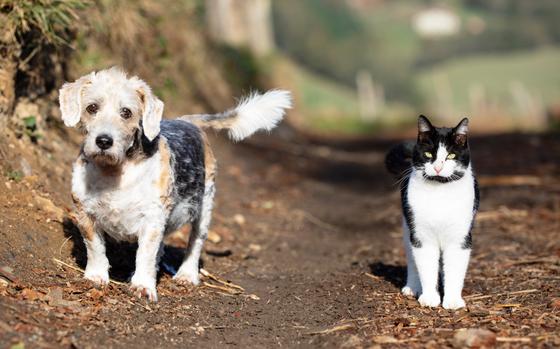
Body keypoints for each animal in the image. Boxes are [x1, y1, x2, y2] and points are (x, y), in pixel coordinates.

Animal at [58, 67, 290, 300]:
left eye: (126, 112)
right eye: (92, 107)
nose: (104, 141)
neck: (114, 171)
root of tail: (186, 120)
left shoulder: (152, 218)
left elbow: (146, 254)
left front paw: (143, 285)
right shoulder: (85, 213)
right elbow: (95, 248)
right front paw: (96, 276)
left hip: (204, 209)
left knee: (194, 244)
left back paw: (186, 274)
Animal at [384, 115, 482, 308]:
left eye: (451, 155)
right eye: (429, 154)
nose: (438, 168)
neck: (439, 191)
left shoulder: (460, 238)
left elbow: (454, 270)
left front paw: (452, 301)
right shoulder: (421, 236)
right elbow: (427, 268)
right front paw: (430, 298)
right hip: (407, 229)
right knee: (413, 261)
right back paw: (412, 287)